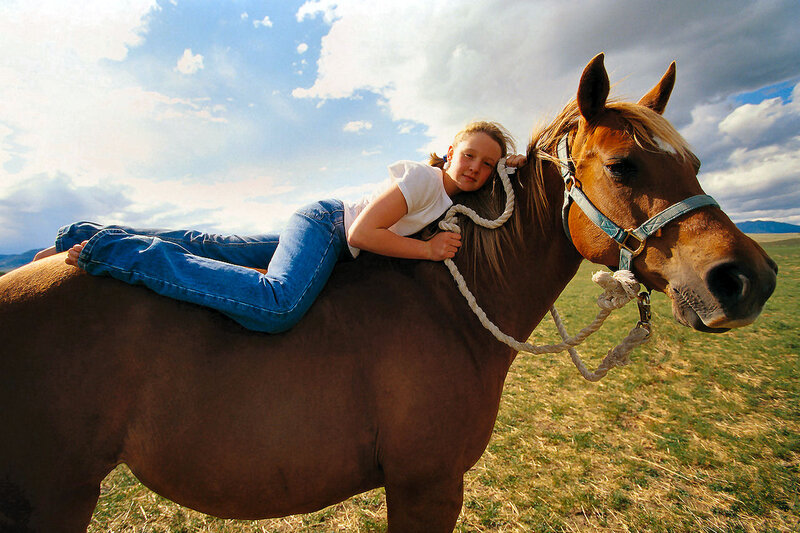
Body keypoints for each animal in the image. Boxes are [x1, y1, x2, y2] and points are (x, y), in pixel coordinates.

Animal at [0, 54, 777, 532]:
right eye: (621, 164)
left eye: (695, 161)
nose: (747, 280)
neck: (453, 309)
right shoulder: (425, 486)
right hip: (55, 497)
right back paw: (96, 242)